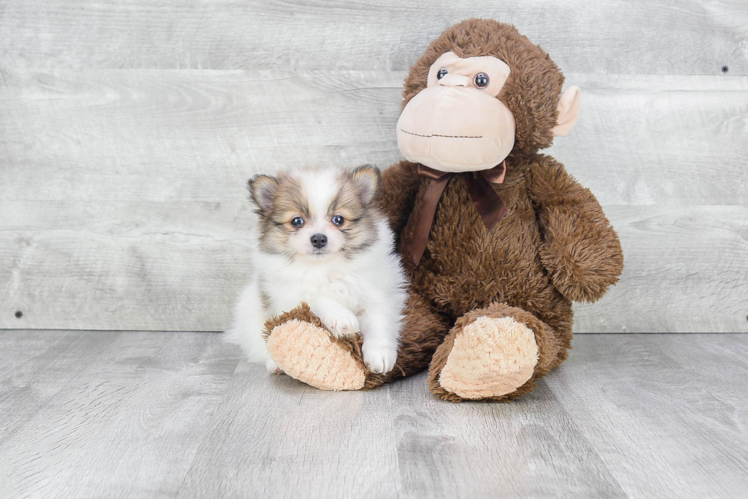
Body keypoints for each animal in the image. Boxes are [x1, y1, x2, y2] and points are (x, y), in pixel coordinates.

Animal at [225, 165, 406, 376]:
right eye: (297, 221)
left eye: (338, 219)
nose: (319, 239)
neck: (324, 268)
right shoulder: (290, 296)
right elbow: (319, 299)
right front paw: (341, 318)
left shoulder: (376, 292)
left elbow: (379, 322)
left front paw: (380, 355)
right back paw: (275, 364)